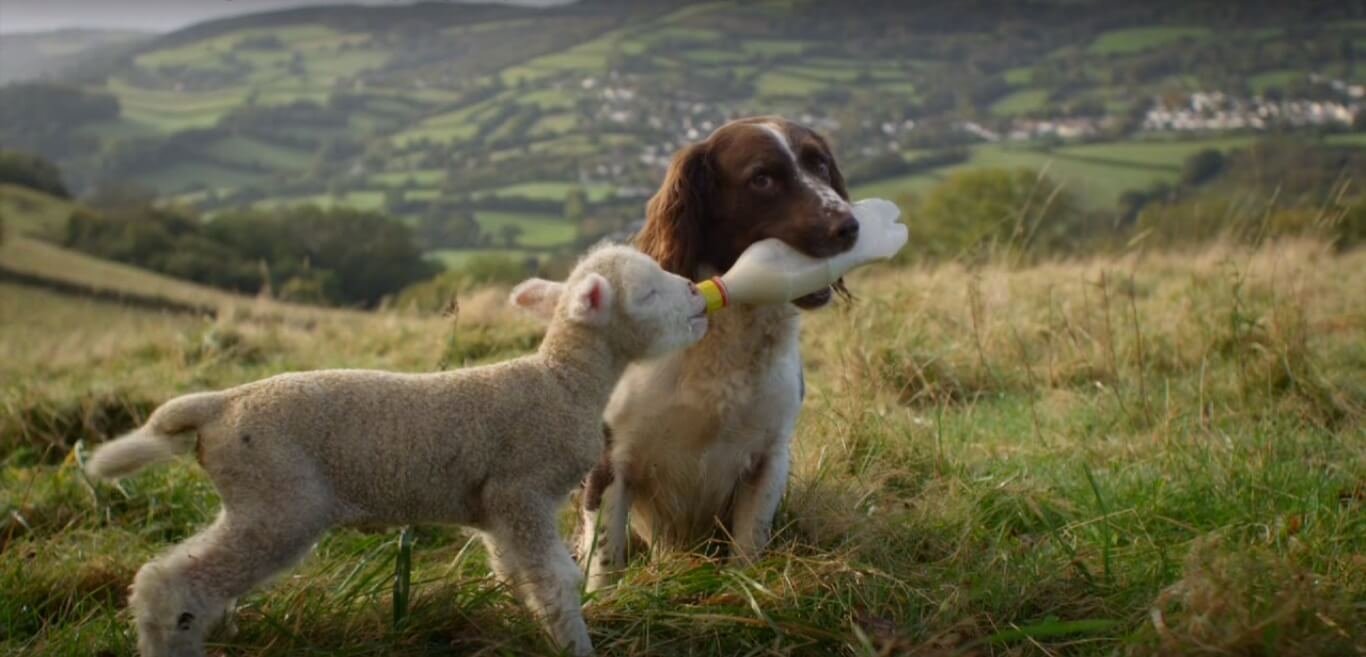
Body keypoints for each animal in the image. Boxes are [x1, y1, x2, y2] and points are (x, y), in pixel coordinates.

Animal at [84, 244, 710, 655]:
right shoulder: (522, 492)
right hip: (278, 500)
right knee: (169, 582)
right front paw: (576, 645)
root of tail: (219, 405)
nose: (698, 297)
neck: (562, 382)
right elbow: (558, 582)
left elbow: (515, 573)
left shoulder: (494, 510)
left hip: (254, 499)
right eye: (647, 292)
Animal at [579, 114, 857, 590]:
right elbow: (604, 561)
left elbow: (748, 546)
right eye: (761, 179)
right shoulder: (611, 460)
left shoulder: (770, 456)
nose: (850, 226)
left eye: (820, 164)